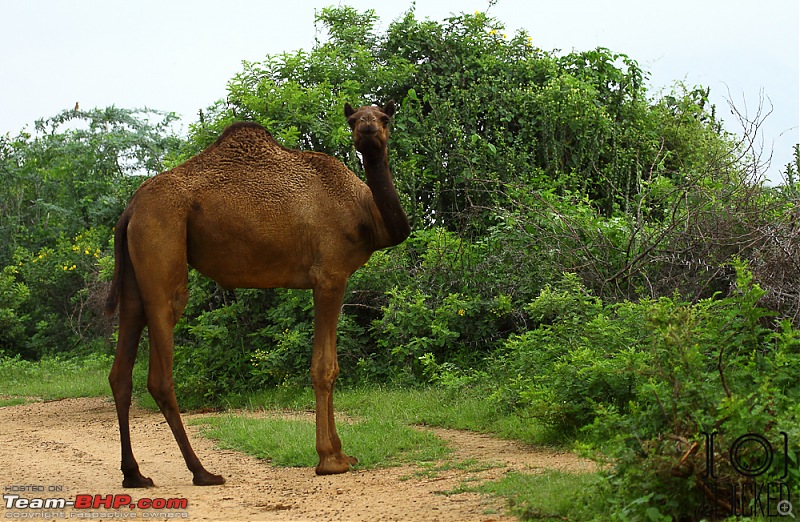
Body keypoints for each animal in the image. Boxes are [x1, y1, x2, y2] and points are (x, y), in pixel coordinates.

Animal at [103, 102, 410, 488]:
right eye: (354, 120)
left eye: (383, 118)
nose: (368, 128)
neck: (366, 216)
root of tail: (129, 210)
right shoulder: (330, 275)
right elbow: (324, 367)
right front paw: (330, 459)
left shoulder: (328, 278)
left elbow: (330, 365)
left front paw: (342, 453)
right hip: (161, 248)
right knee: (160, 374)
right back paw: (202, 471)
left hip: (133, 275)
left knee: (120, 372)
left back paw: (134, 474)